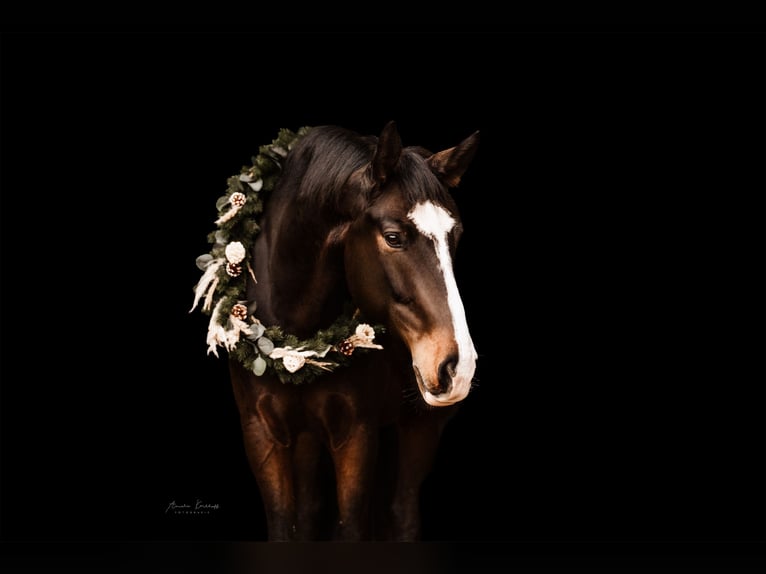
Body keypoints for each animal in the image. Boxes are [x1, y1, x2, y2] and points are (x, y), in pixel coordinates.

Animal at [192, 121, 480, 541]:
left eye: (454, 236)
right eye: (394, 237)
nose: (458, 366)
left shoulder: (355, 435)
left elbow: (353, 527)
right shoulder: (262, 434)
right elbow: (287, 524)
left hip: (420, 426)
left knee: (403, 512)